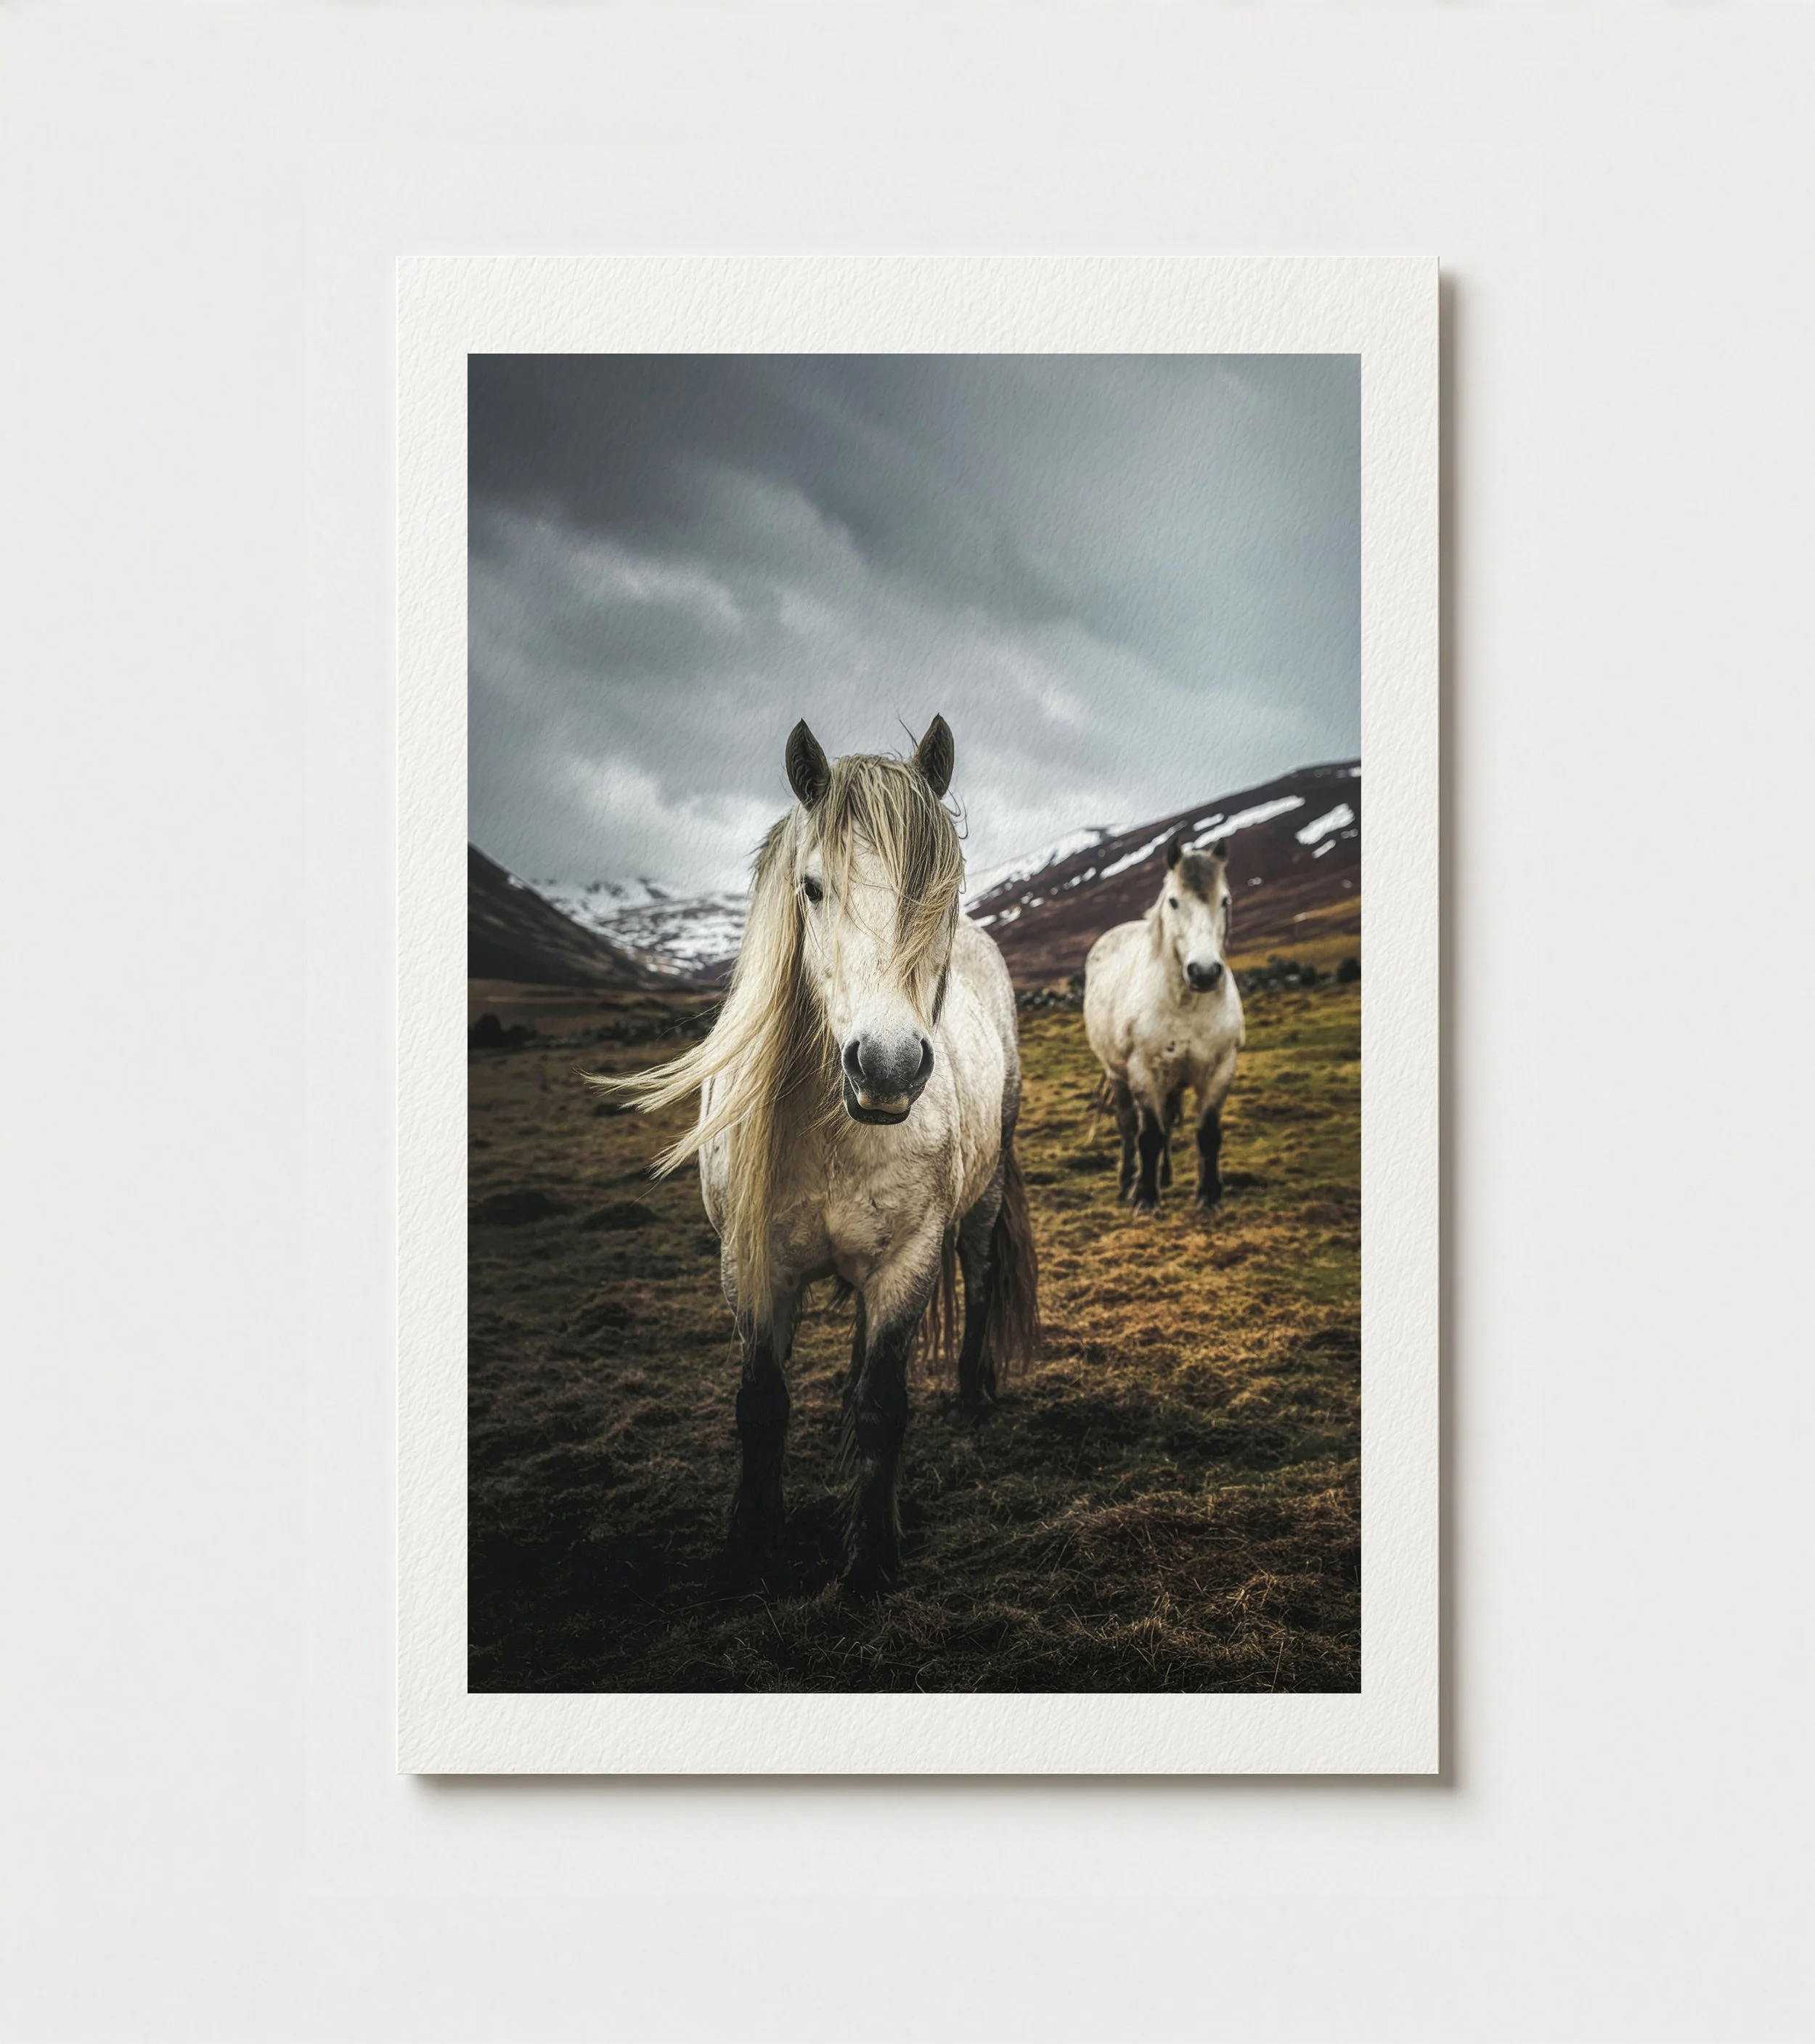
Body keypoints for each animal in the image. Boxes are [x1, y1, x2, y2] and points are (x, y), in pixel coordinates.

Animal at [608, 716, 1039, 1596]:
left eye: (945, 890)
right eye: (811, 887)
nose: (887, 1067)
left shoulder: (908, 1261)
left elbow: (884, 1410)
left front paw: (869, 1560)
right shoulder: (753, 1268)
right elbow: (761, 1407)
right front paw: (751, 1549)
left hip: (978, 1206)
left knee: (979, 1278)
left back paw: (971, 1396)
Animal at [1082, 835, 1244, 1214]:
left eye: (1225, 900)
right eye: (1173, 902)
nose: (1204, 972)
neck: (1186, 1004)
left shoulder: (1220, 1069)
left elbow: (1208, 1134)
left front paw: (1209, 1196)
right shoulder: (1144, 1071)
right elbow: (1149, 1135)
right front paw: (1145, 1197)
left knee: (1169, 1120)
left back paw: (1165, 1177)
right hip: (1118, 1074)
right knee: (1128, 1125)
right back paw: (1128, 1181)